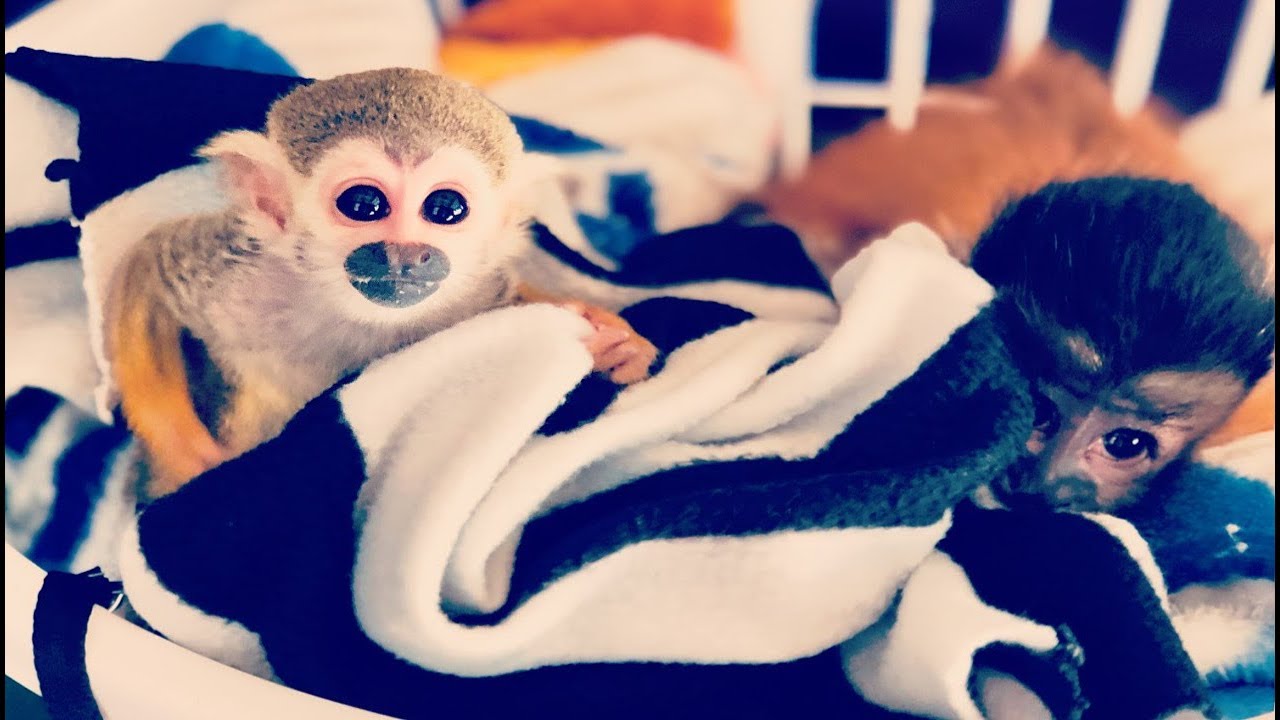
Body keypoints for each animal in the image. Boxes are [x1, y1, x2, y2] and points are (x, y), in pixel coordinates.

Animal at [104, 67, 657, 499]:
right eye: (364, 205)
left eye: (445, 208)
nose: (406, 256)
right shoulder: (238, 279)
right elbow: (149, 267)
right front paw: (187, 457)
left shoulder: (473, 302)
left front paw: (616, 344)